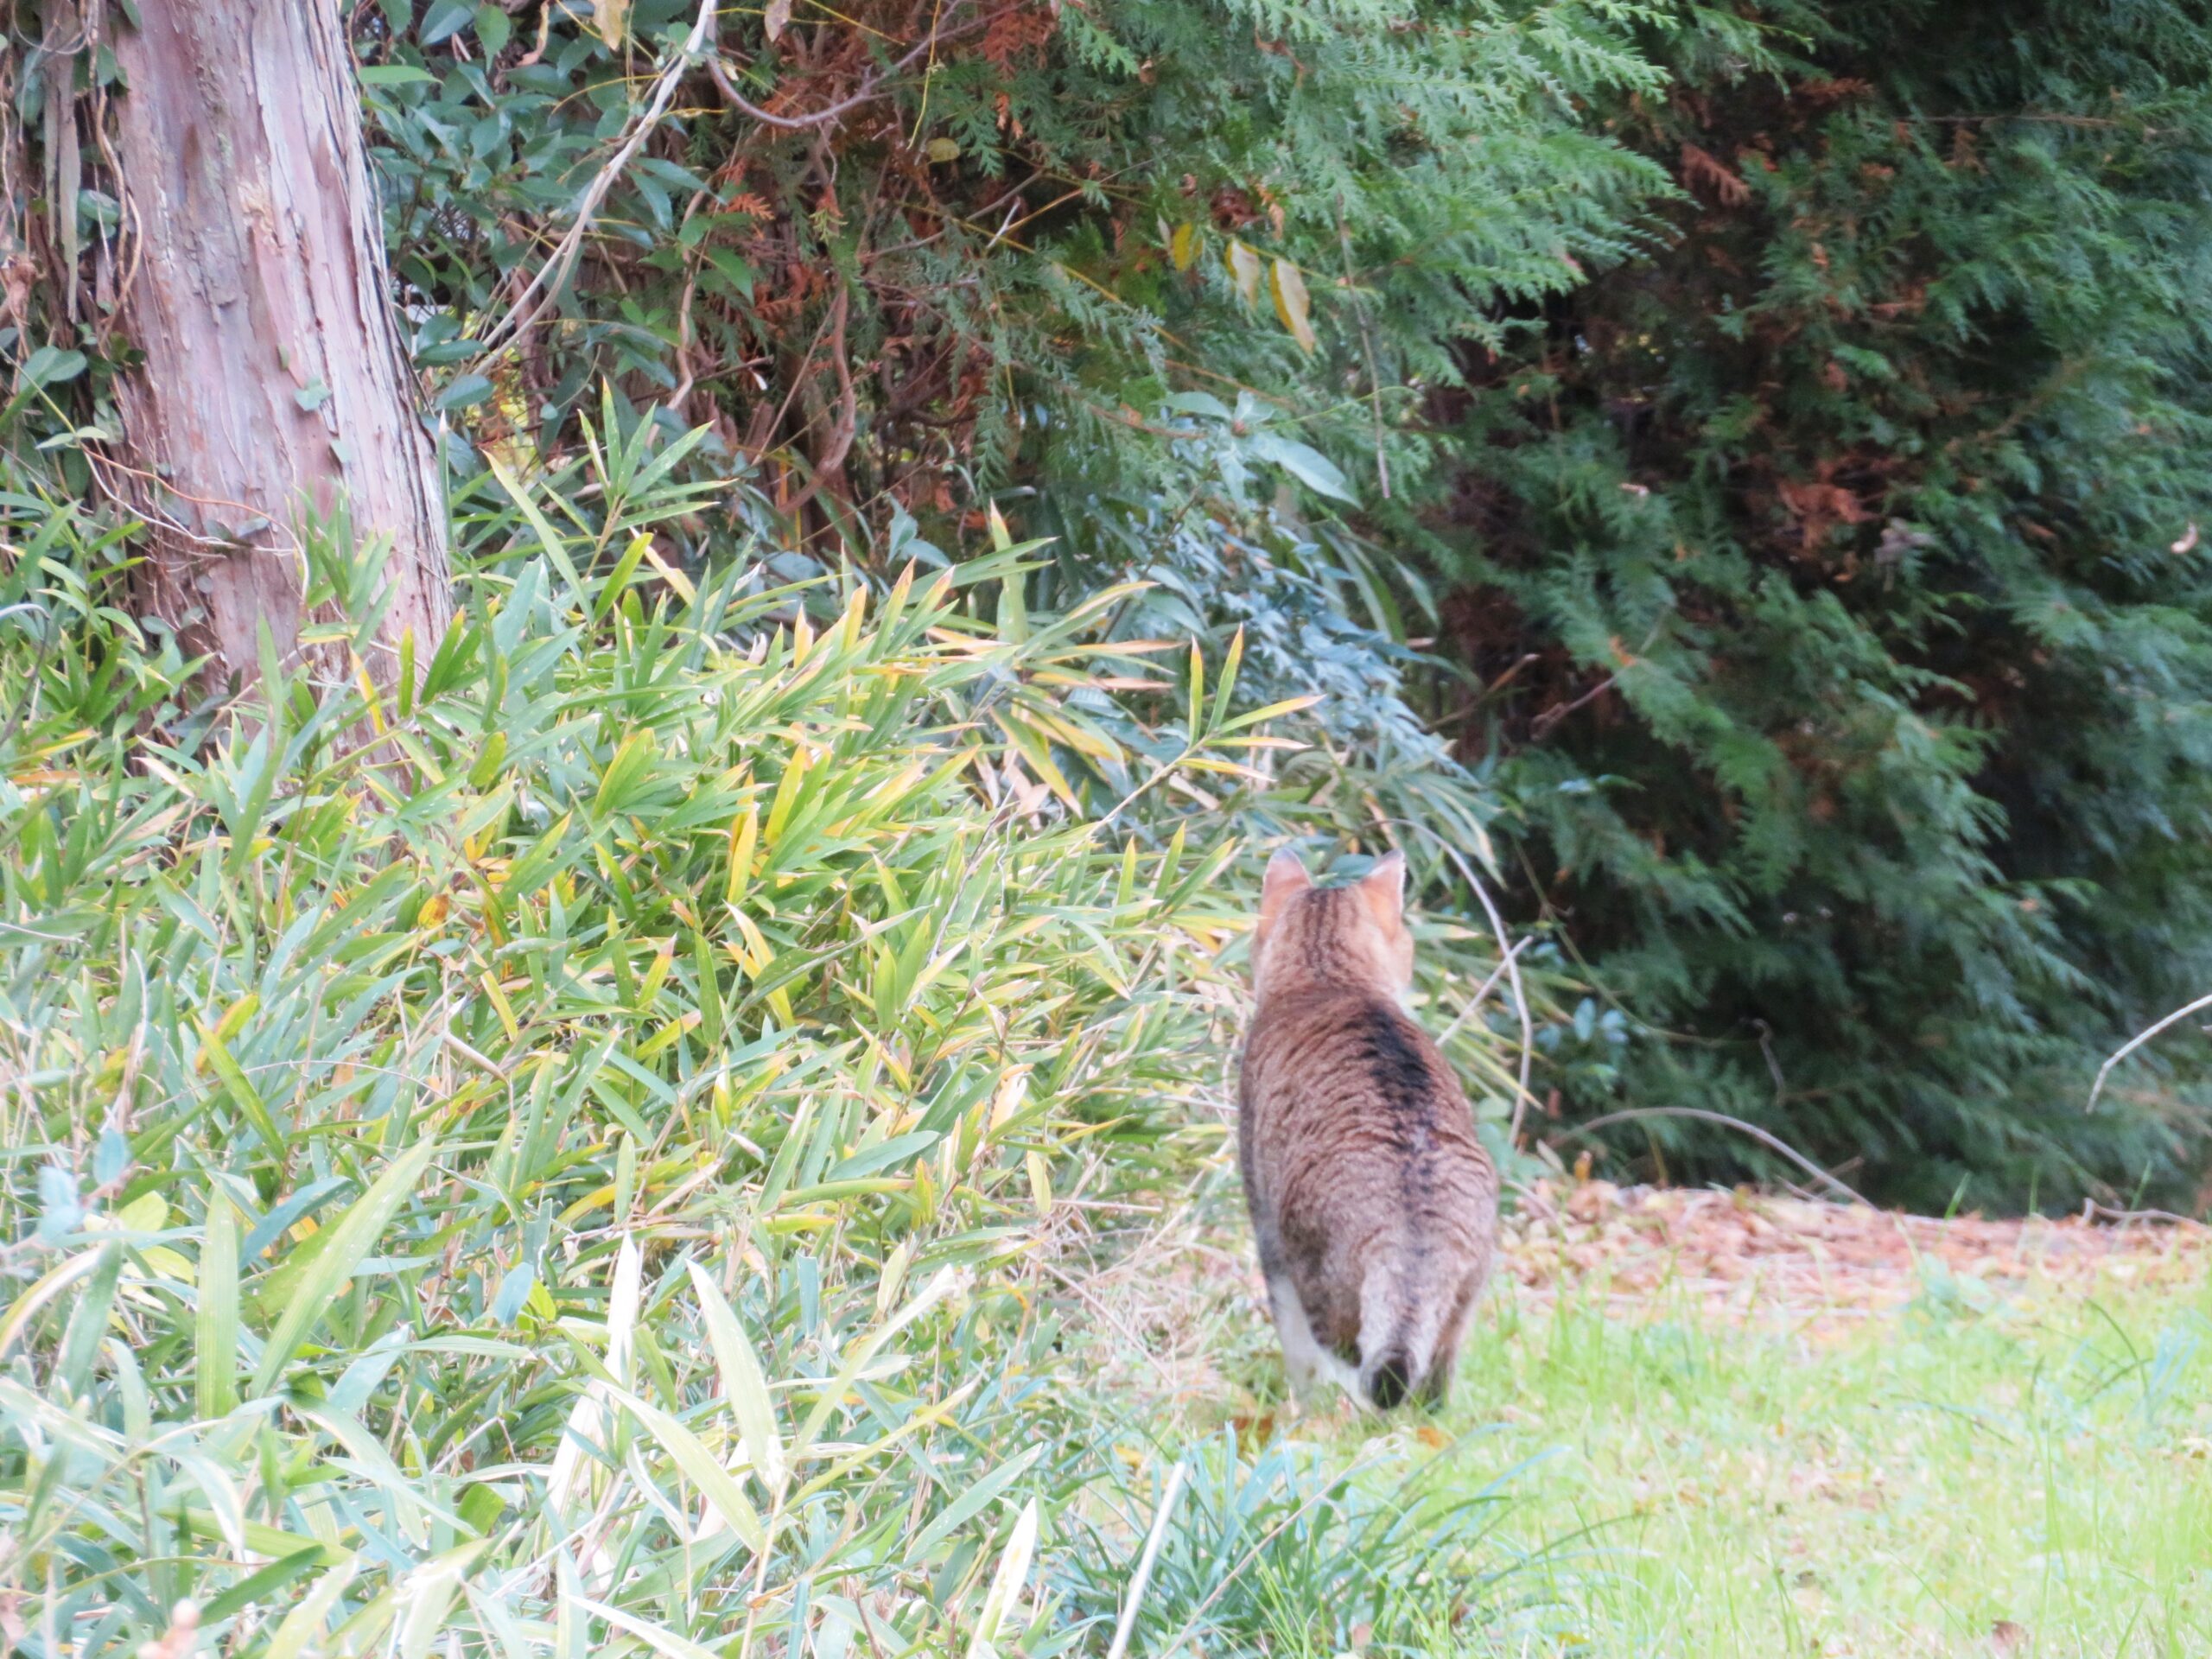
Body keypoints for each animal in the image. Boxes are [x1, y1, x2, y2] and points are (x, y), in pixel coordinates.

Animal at [1238, 849, 1495, 1407]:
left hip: (1316, 1277)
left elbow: (1294, 1346)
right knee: (1429, 1389)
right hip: (1460, 1310)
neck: (1329, 978)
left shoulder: (1266, 1229)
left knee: (1352, 1372)